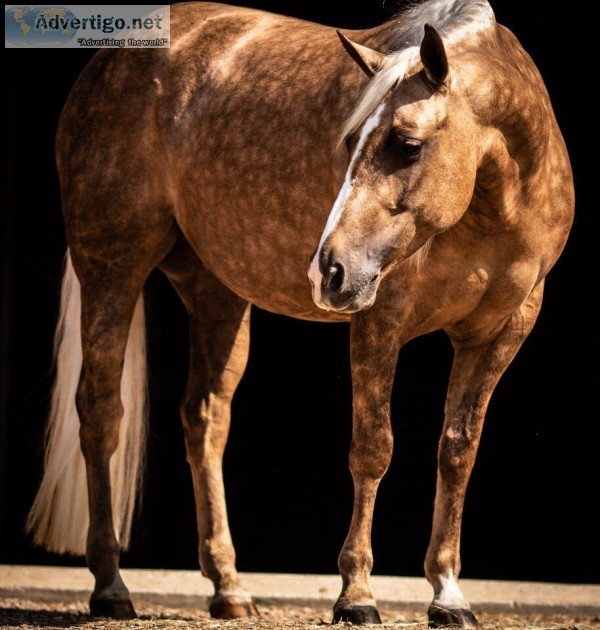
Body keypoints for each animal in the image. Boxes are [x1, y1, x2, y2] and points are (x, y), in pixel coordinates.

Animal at [25, 0, 576, 628]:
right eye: (349, 140)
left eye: (407, 144)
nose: (328, 271)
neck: (494, 203)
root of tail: (111, 57)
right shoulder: (379, 320)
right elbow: (373, 449)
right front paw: (357, 594)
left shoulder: (500, 333)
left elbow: (457, 452)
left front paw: (448, 593)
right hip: (112, 266)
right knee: (100, 412)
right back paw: (111, 585)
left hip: (215, 291)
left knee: (205, 420)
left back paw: (228, 588)